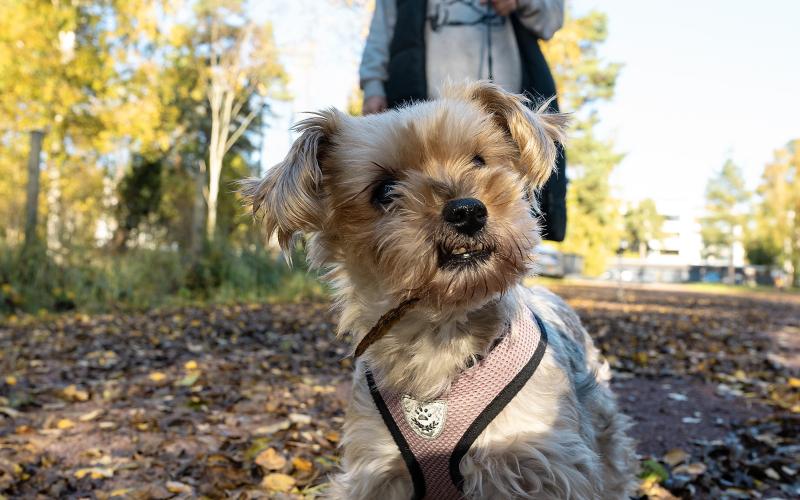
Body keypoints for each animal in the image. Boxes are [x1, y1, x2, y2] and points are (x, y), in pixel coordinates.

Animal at [244, 80, 636, 498]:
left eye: (479, 161)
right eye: (385, 191)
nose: (466, 210)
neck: (440, 331)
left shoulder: (539, 457)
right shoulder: (377, 468)